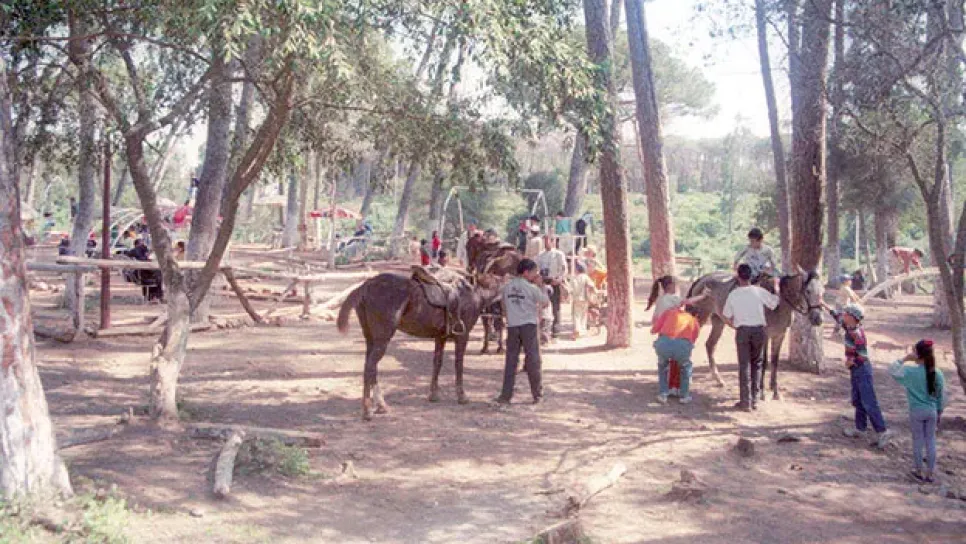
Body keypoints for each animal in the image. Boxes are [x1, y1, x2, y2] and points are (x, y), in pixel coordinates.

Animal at [337, 270, 503, 420]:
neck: (473, 294)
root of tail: (366, 285)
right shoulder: (462, 336)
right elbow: (458, 365)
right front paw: (462, 396)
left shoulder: (440, 338)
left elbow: (437, 363)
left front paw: (433, 395)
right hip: (382, 339)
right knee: (369, 367)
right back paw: (367, 411)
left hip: (371, 339)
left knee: (371, 368)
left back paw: (381, 405)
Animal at [686, 267, 824, 400]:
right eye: (808, 291)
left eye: (822, 292)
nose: (818, 319)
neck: (779, 301)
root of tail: (703, 278)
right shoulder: (765, 336)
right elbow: (764, 362)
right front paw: (761, 393)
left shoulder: (779, 335)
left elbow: (775, 362)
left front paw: (775, 392)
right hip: (699, 317)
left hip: (718, 320)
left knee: (710, 345)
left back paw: (719, 380)